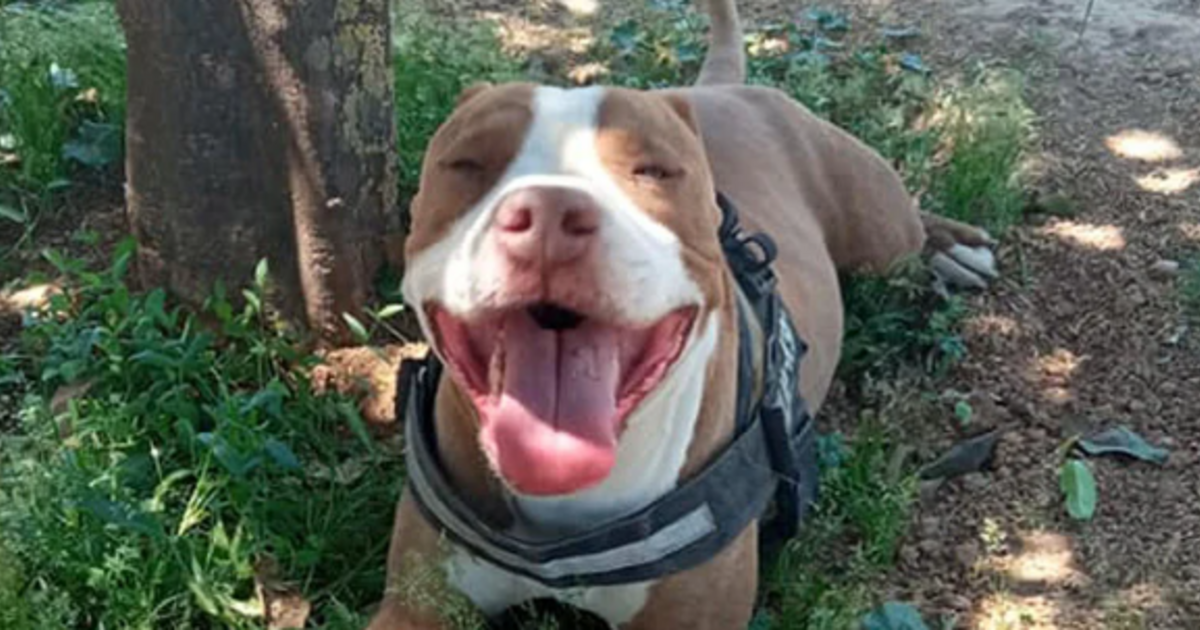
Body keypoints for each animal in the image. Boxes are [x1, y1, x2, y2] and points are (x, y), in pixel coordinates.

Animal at [370, 1, 997, 627]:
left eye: (653, 171)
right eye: (466, 163)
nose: (550, 212)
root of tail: (718, 90)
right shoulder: (415, 605)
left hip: (878, 229)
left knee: (910, 225)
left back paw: (954, 247)